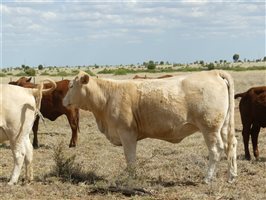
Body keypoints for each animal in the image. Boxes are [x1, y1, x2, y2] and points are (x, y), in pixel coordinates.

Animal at [63, 70, 238, 183]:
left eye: (71, 86)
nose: (63, 101)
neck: (107, 96)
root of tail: (214, 72)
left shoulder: (127, 133)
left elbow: (130, 158)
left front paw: (131, 178)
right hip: (223, 127)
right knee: (232, 145)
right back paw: (232, 176)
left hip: (209, 127)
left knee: (216, 150)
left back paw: (207, 178)